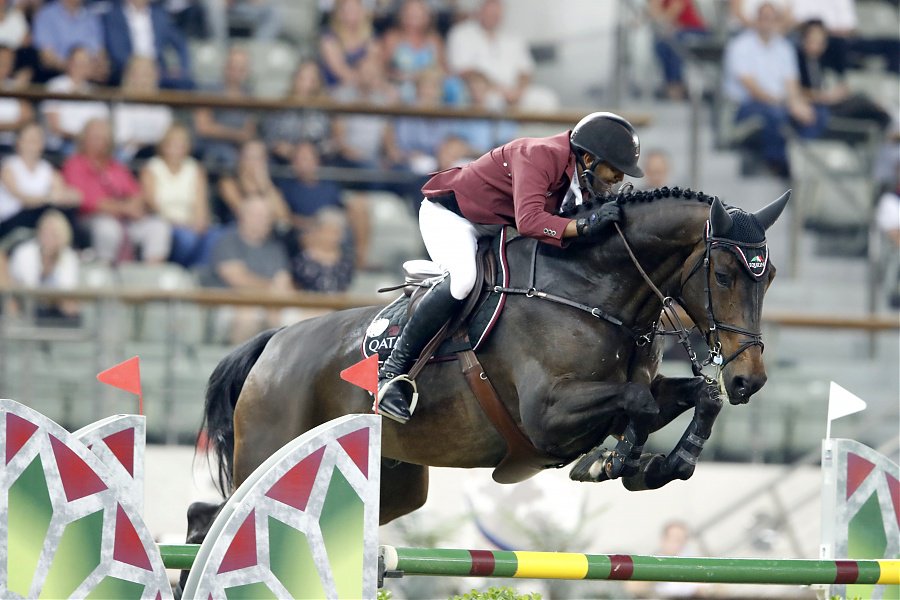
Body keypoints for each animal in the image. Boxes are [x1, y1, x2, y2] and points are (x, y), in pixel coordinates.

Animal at [186, 186, 792, 548]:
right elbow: (637, 406)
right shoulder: (547, 416)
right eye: (724, 276)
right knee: (212, 520)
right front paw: (612, 462)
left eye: (769, 276)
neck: (591, 289)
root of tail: (273, 345)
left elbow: (695, 398)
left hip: (395, 482)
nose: (750, 379)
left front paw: (663, 463)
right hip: (270, 451)